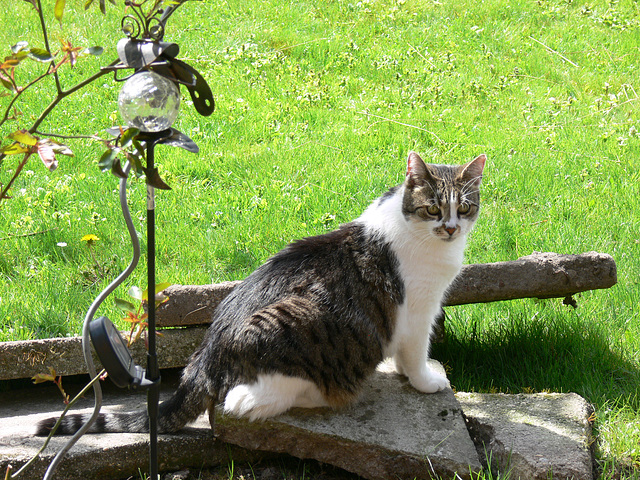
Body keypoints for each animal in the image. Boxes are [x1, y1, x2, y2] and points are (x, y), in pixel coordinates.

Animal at [35, 152, 484, 436]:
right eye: (432, 208)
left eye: (463, 208)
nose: (450, 228)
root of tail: (205, 356)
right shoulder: (418, 309)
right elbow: (416, 352)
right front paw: (424, 381)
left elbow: (406, 355)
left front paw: (405, 373)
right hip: (293, 322)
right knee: (239, 402)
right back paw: (325, 395)